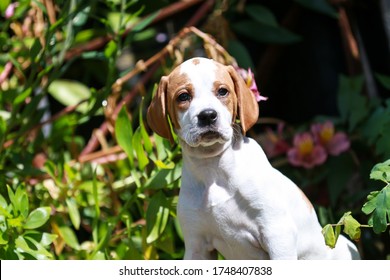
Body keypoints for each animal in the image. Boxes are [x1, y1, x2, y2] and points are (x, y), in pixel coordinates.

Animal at [146, 57, 360, 260]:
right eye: (183, 96)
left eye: (222, 91)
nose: (207, 115)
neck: (212, 168)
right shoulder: (196, 246)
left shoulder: (277, 233)